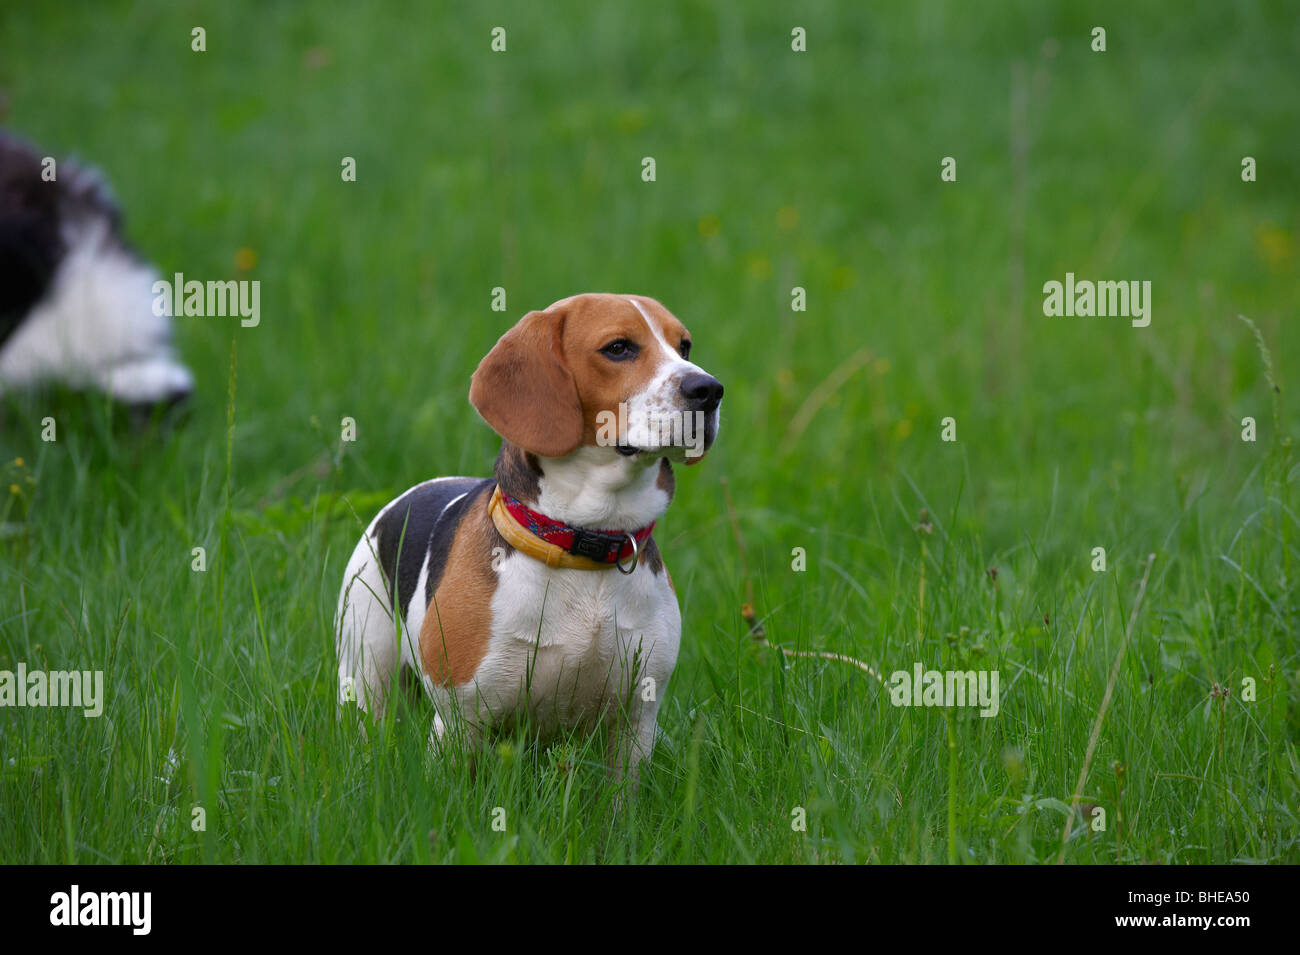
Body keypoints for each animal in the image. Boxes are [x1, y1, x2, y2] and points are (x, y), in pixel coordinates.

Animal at [335, 294, 722, 779]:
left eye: (684, 346)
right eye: (618, 348)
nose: (709, 389)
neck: (583, 542)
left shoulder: (636, 722)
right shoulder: (461, 721)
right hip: (365, 675)